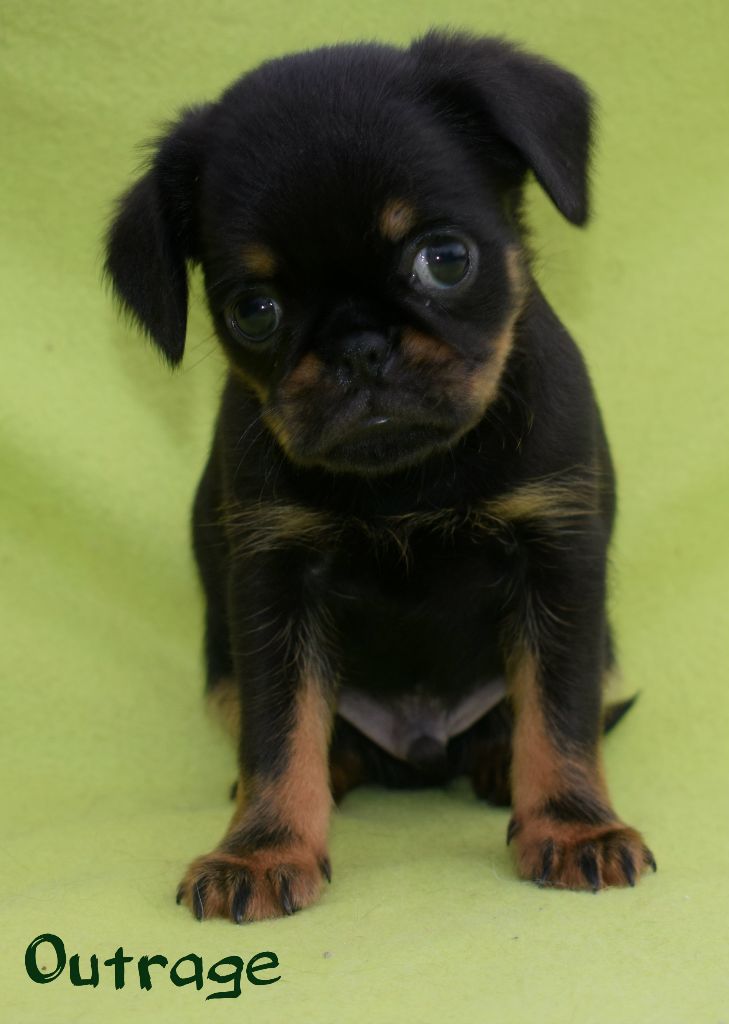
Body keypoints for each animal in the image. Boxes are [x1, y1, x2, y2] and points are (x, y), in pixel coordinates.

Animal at [105, 30, 655, 922]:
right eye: (253, 310)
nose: (359, 348)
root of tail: (419, 748)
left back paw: (500, 767)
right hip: (220, 665)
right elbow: (277, 732)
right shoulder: (274, 585)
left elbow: (560, 712)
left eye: (445, 260)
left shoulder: (558, 558)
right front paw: (262, 849)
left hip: (600, 645)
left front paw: (574, 826)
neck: (409, 481)